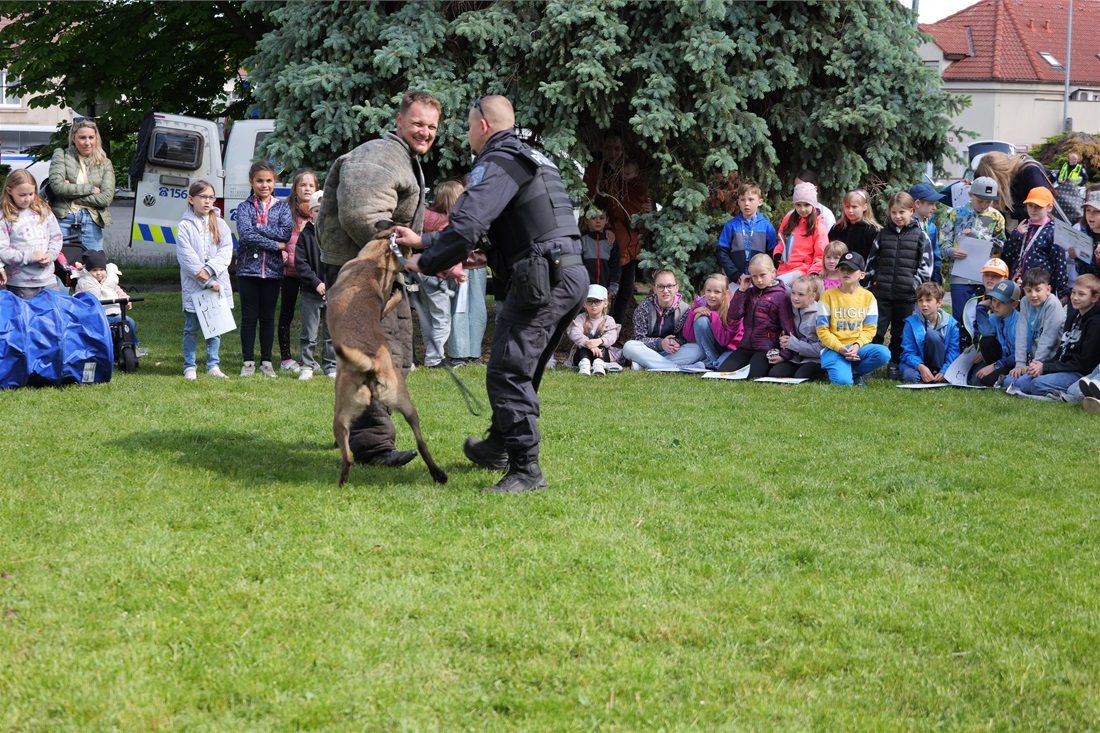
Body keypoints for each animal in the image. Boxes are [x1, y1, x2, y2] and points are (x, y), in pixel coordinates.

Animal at [326, 227, 447, 486]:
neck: (375, 260)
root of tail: (371, 364)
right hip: (406, 406)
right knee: (421, 443)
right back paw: (438, 474)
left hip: (340, 412)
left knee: (347, 456)